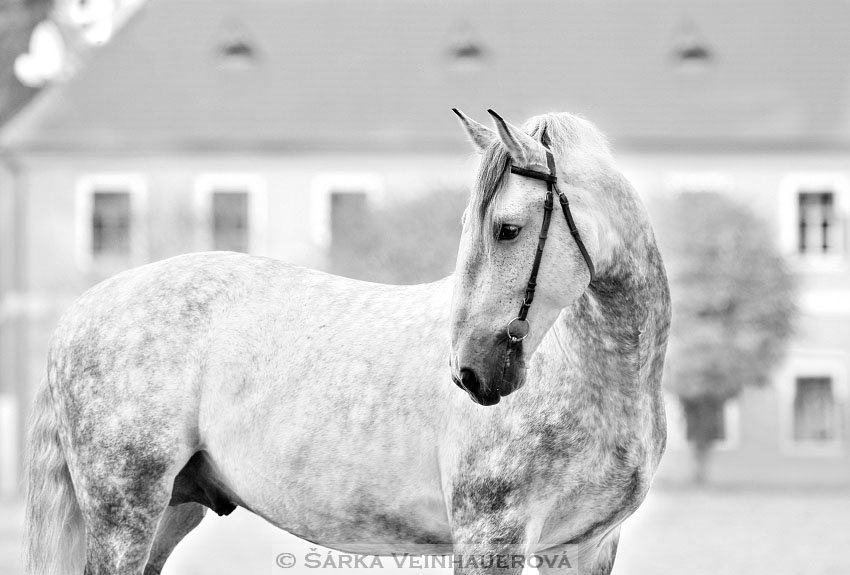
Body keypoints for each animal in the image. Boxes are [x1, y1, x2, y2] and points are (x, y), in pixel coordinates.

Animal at [24, 110, 668, 572]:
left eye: (507, 229)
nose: (471, 372)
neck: (592, 383)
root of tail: (83, 309)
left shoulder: (586, 548)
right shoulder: (492, 539)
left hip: (170, 511)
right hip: (124, 511)